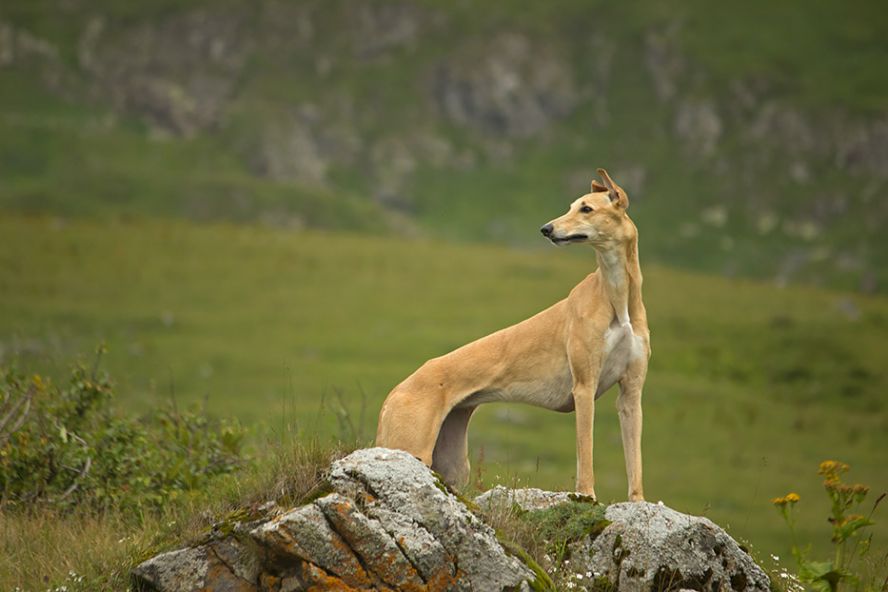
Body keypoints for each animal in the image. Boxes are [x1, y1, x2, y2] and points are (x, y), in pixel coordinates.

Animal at [372, 169, 644, 502]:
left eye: (587, 208)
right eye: (572, 206)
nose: (546, 229)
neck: (616, 297)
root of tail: (396, 391)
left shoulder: (631, 393)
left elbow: (634, 461)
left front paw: (639, 504)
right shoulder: (584, 387)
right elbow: (586, 452)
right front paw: (587, 497)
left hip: (452, 463)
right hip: (409, 448)